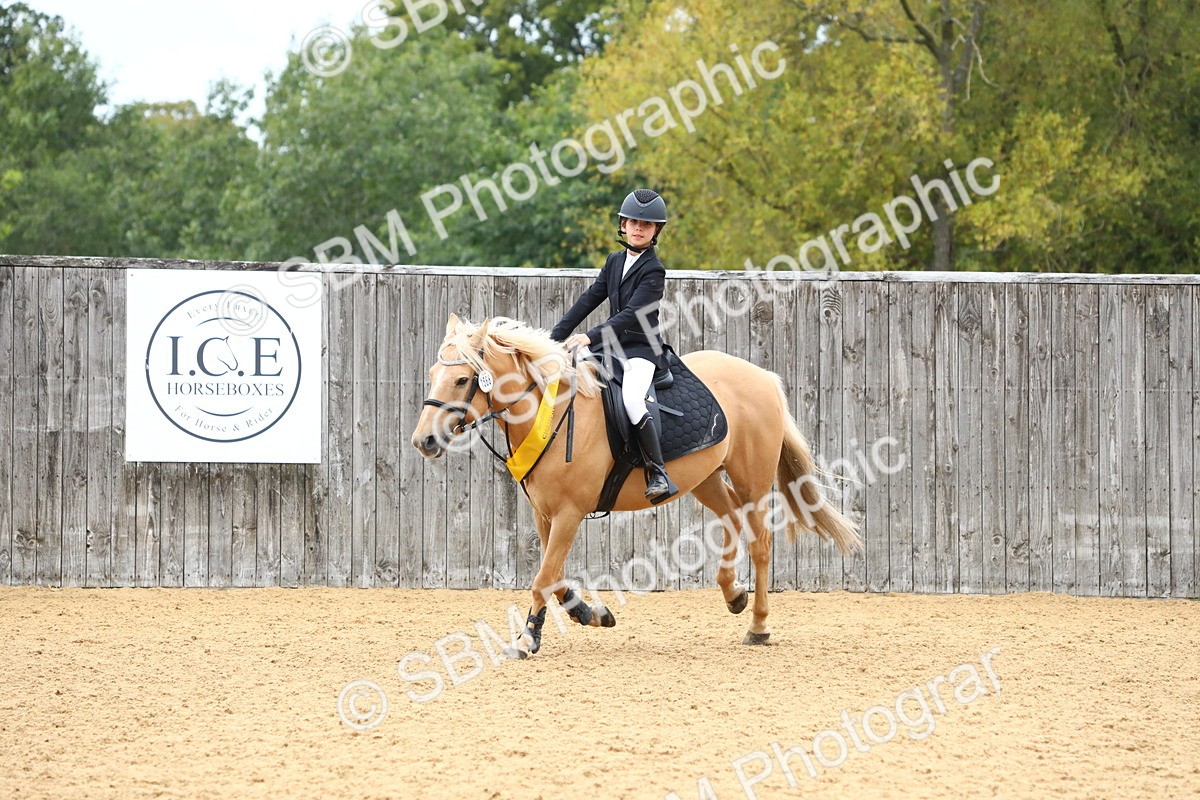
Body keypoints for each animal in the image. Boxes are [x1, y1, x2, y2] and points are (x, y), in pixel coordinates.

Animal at [411, 314, 860, 657]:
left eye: (462, 380)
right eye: (433, 374)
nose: (423, 441)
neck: (549, 412)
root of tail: (762, 375)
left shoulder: (570, 513)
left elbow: (543, 577)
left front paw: (527, 639)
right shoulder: (545, 514)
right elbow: (553, 577)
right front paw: (590, 614)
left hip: (752, 479)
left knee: (760, 541)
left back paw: (758, 626)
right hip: (705, 479)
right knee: (733, 521)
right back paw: (733, 595)